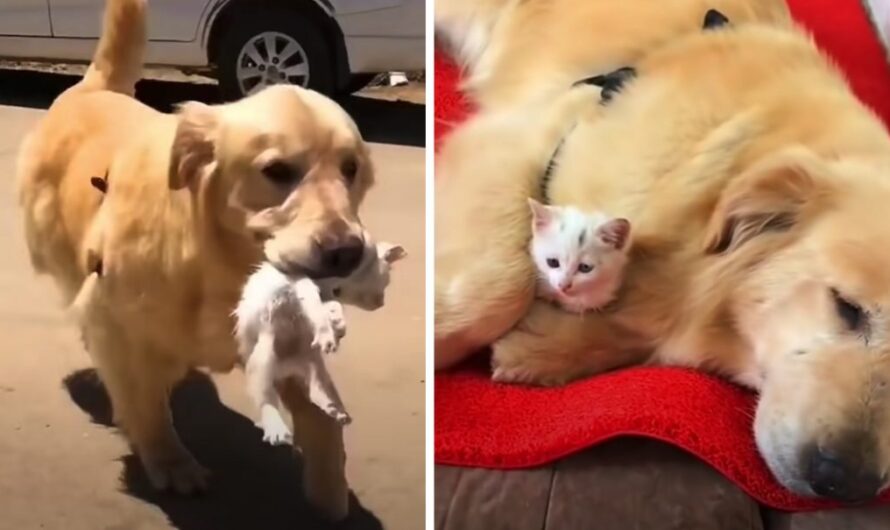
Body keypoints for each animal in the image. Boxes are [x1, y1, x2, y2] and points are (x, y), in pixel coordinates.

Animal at [17, 0, 372, 516]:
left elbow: (322, 418)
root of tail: (93, 89)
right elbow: (145, 403)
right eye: (276, 170)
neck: (219, 264)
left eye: (351, 169)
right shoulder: (121, 329)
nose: (347, 251)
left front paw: (330, 489)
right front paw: (170, 461)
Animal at [232, 233, 406, 444]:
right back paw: (276, 429)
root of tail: (286, 368)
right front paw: (331, 327)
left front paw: (337, 325)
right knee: (265, 395)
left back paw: (336, 410)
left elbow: (329, 305)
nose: (380, 304)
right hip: (262, 357)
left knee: (316, 387)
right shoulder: (302, 280)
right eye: (386, 280)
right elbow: (314, 300)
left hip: (314, 362)